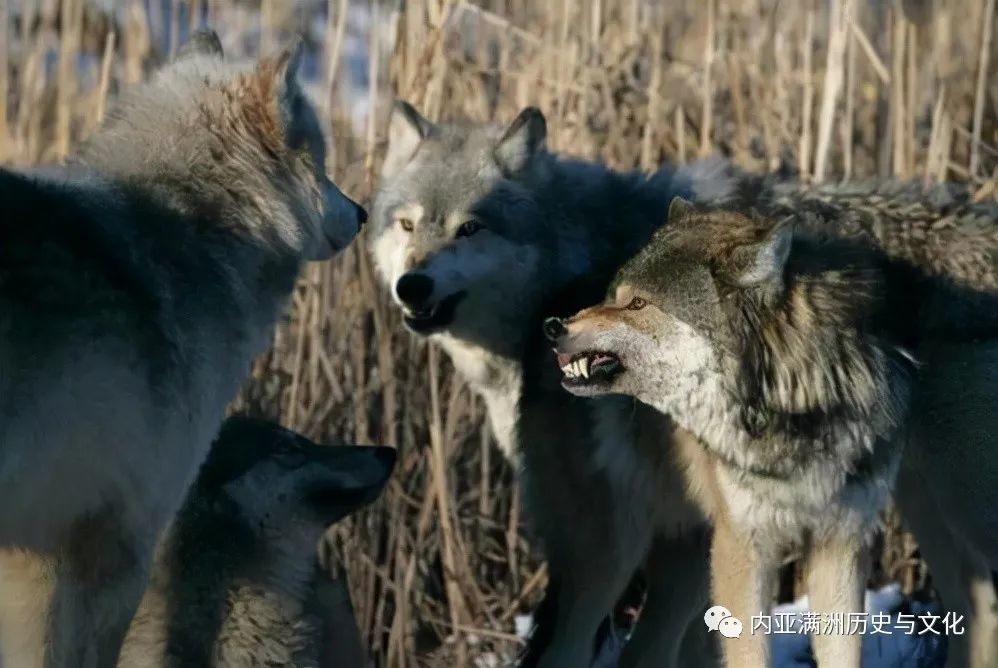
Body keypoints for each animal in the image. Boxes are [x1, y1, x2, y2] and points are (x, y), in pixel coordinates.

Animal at [552, 179, 998, 668]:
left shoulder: (840, 542)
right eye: (614, 296)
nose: (554, 327)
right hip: (619, 559)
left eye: (637, 304)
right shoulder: (743, 546)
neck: (801, 398)